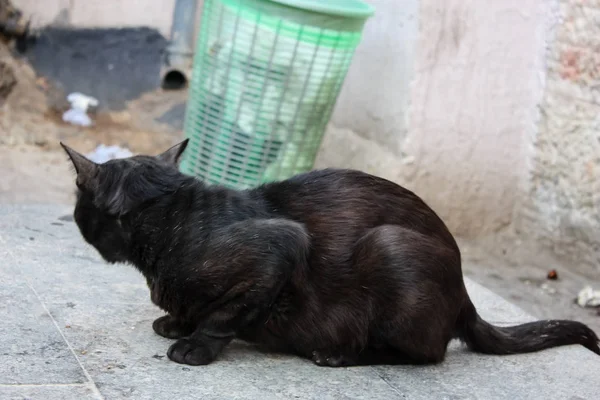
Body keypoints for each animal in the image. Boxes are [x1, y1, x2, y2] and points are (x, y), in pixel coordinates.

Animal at [62, 140, 600, 366]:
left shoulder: (279, 248)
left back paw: (338, 355)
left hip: (389, 247)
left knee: (426, 355)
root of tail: (467, 290)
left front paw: (195, 345)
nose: (75, 220)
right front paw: (177, 321)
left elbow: (225, 314)